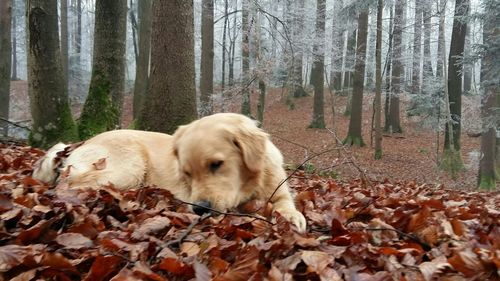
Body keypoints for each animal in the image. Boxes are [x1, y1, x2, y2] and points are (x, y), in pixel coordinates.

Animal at [32, 112, 304, 231]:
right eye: (187, 173)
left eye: (216, 164)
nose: (200, 209)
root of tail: (81, 143)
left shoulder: (279, 190)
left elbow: (285, 203)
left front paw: (292, 217)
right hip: (128, 167)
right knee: (68, 185)